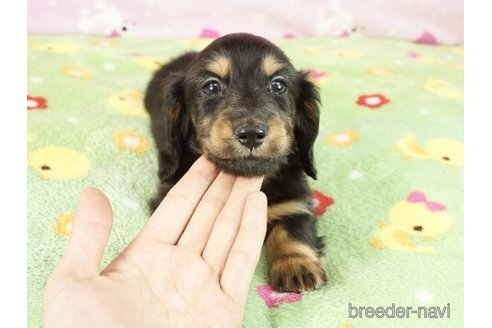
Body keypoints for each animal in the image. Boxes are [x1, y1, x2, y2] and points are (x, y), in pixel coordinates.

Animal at [143, 32, 326, 290]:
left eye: (278, 85)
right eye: (211, 87)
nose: (251, 134)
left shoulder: (295, 202)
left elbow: (292, 229)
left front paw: (296, 264)